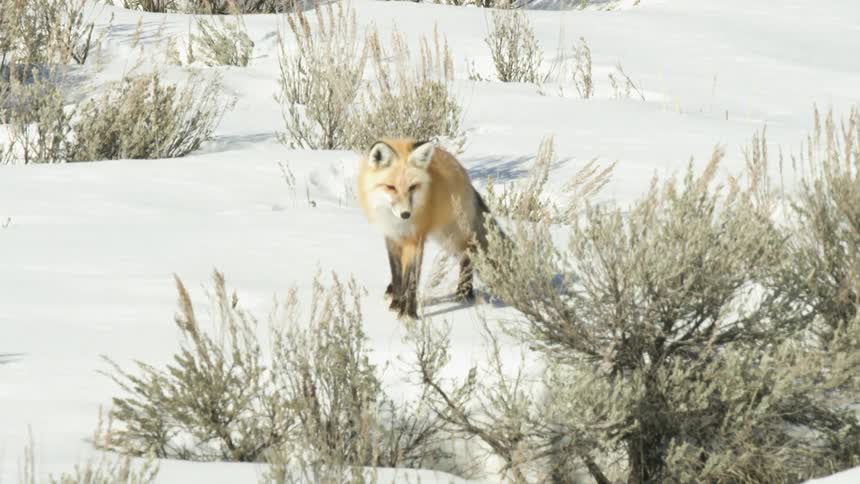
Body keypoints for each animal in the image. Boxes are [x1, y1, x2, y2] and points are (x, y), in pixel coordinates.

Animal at [357, 138, 502, 319]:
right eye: (391, 187)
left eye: (412, 187)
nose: (406, 214)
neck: (398, 223)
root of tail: (464, 174)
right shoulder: (392, 238)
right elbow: (397, 275)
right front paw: (397, 302)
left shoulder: (415, 239)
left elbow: (412, 279)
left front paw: (409, 313)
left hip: (451, 234)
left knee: (469, 253)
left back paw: (464, 292)